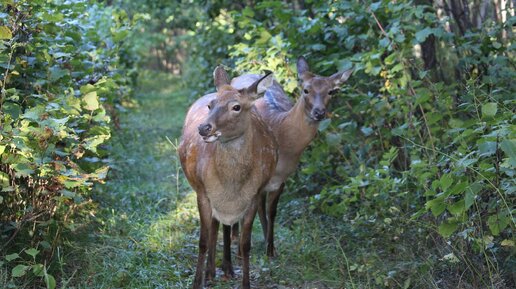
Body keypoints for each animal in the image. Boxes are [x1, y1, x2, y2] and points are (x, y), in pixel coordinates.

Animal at [179, 66, 280, 288]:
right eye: (211, 105)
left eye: (236, 107)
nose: (204, 128)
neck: (231, 184)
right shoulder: (203, 192)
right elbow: (203, 241)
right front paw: (197, 282)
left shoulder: (254, 195)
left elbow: (245, 244)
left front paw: (245, 283)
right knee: (215, 227)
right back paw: (211, 272)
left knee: (223, 226)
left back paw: (226, 269)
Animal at [232, 56, 352, 256]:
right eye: (306, 89)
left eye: (331, 91)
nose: (319, 112)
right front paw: (245, 249)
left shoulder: (282, 178)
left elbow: (272, 211)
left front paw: (271, 250)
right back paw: (235, 237)